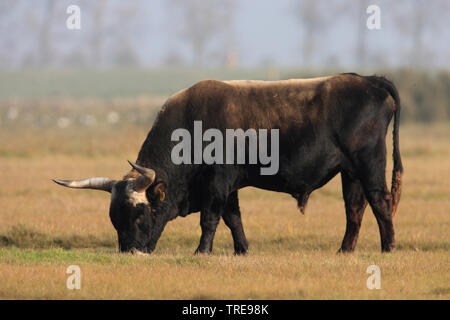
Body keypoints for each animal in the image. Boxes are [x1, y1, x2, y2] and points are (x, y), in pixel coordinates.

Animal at [53, 73, 404, 255]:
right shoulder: (229, 187)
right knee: (355, 209)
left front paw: (202, 251)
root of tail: (369, 80)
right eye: (115, 218)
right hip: (350, 173)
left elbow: (210, 219)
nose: (130, 252)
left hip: (369, 166)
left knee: (380, 203)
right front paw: (242, 250)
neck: (191, 127)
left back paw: (388, 247)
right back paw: (345, 250)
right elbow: (233, 219)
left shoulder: (217, 184)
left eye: (140, 214)